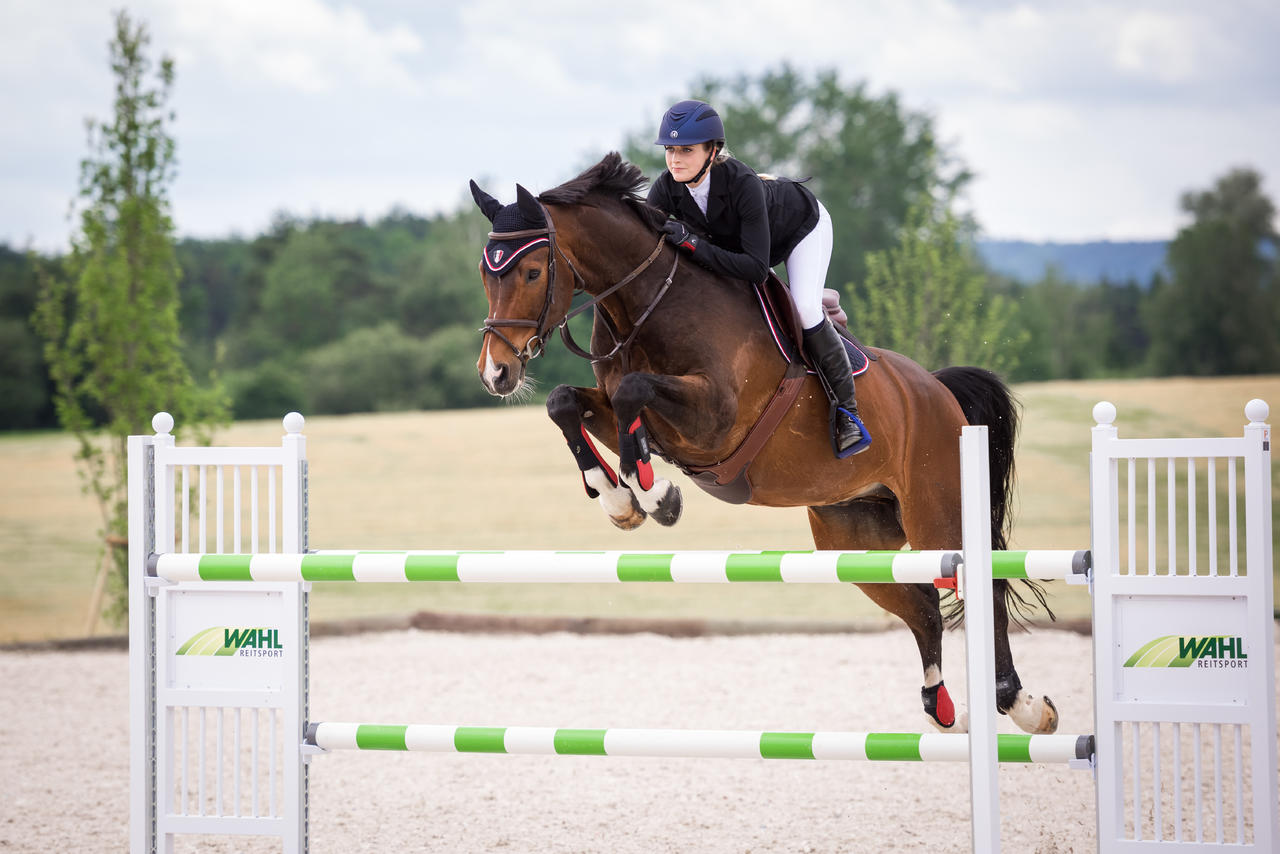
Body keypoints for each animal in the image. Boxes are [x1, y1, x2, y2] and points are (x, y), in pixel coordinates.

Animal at [465, 151, 1054, 737]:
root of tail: (936, 389)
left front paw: (657, 497)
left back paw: (1022, 703)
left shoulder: (714, 421)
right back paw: (942, 706)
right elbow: (565, 403)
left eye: (533, 271)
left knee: (985, 584)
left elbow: (634, 393)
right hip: (853, 535)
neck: (647, 304)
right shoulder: (629, 413)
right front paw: (618, 501)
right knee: (923, 604)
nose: (496, 373)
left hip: (937, 512)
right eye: (484, 273)